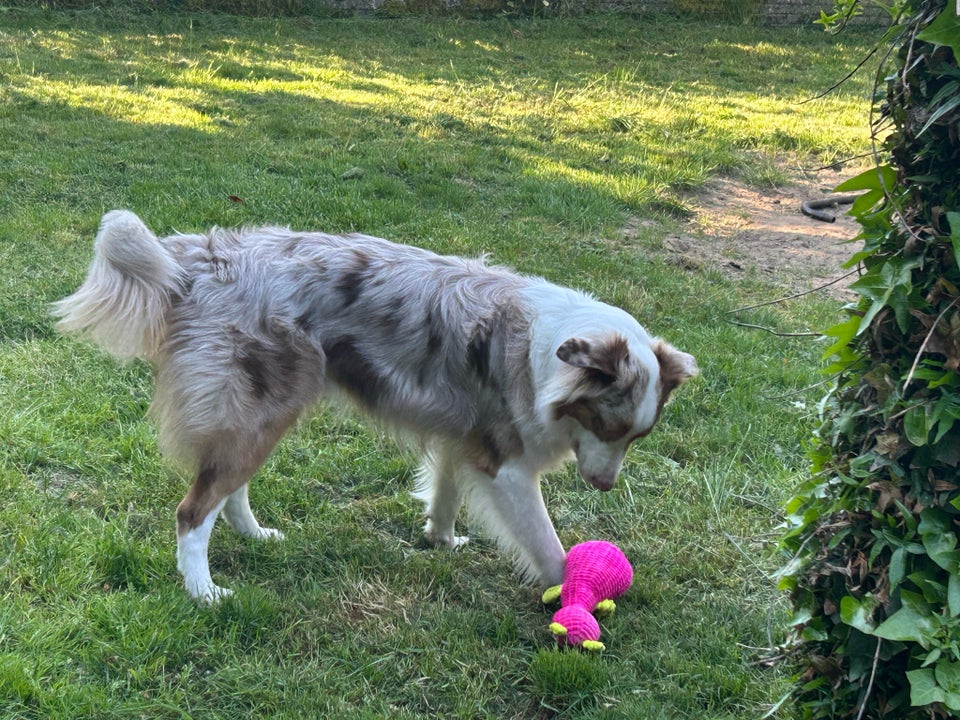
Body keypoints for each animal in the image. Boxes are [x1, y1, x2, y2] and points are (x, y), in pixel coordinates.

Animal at [52, 211, 696, 604]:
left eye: (636, 438)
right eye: (605, 423)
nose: (604, 487)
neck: (547, 349)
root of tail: (205, 256)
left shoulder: (461, 441)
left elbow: (445, 494)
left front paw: (441, 541)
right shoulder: (506, 466)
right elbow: (548, 545)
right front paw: (576, 597)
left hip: (261, 412)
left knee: (227, 484)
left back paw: (254, 535)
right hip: (262, 406)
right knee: (192, 510)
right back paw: (203, 592)